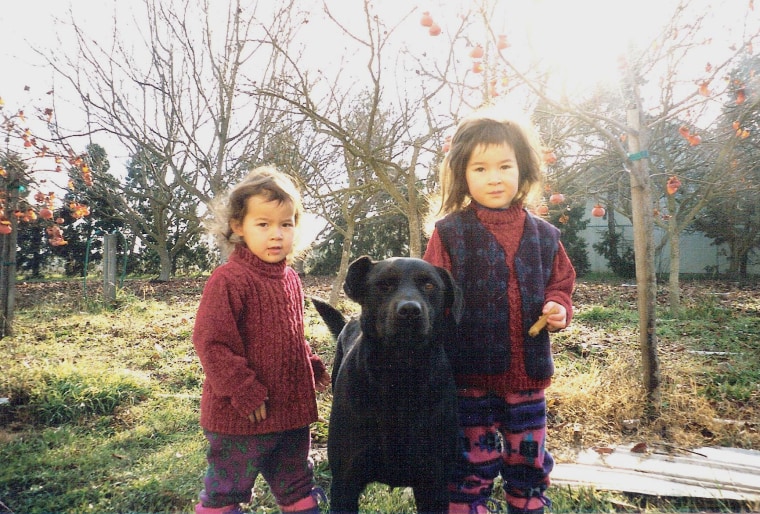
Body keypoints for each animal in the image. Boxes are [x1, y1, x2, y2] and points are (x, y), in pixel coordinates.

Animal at [310, 256, 464, 512]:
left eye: (429, 285)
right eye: (384, 285)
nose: (410, 310)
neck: (400, 375)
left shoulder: (435, 483)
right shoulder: (345, 483)